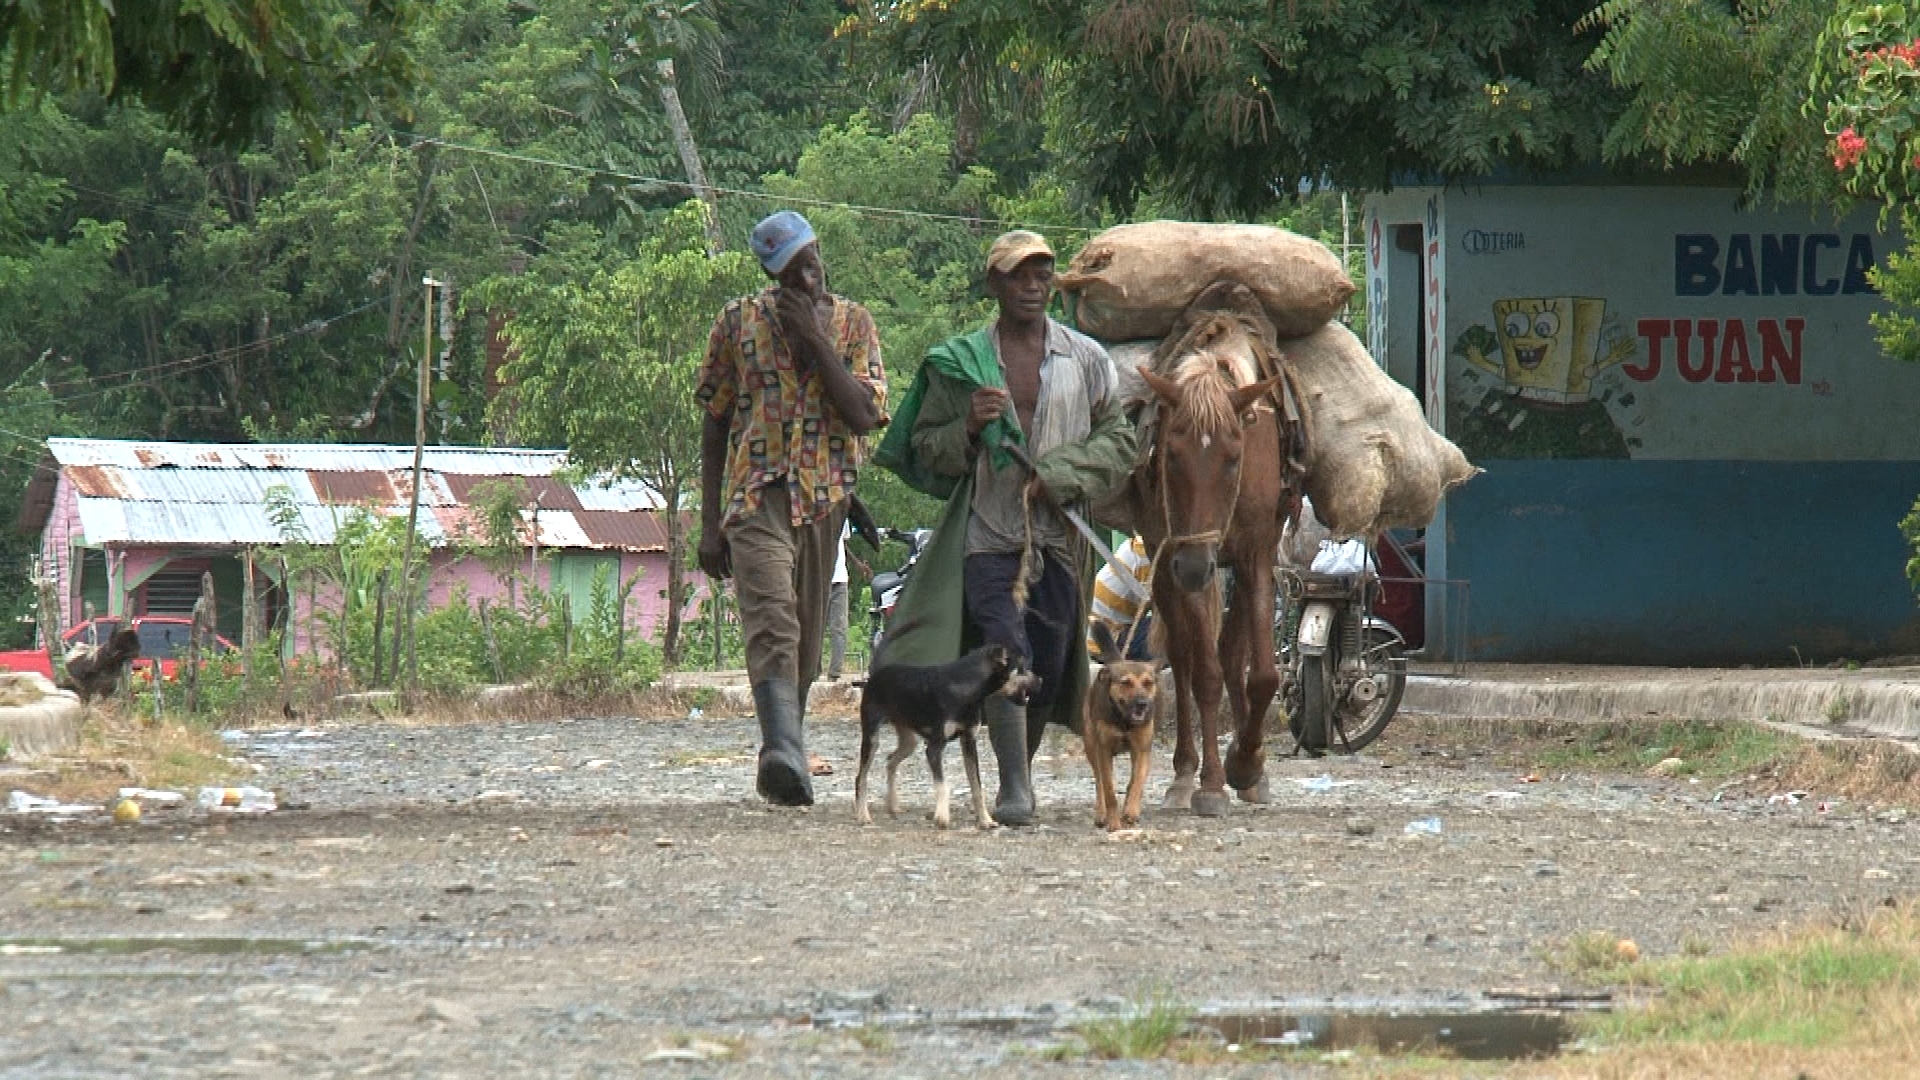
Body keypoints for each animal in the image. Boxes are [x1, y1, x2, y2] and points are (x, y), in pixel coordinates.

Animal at [852, 641, 1036, 826]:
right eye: (1021, 668)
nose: (1040, 680)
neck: (964, 687)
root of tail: (875, 675)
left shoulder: (969, 742)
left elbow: (977, 786)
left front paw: (985, 820)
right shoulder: (934, 747)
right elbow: (943, 785)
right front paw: (942, 816)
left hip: (909, 741)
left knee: (890, 762)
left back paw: (893, 805)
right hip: (872, 738)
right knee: (861, 777)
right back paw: (863, 815)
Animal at [1082, 618, 1152, 826]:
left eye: (1149, 683)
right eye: (1125, 683)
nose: (1142, 703)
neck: (1124, 721)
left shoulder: (1142, 749)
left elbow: (1136, 782)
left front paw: (1131, 811)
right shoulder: (1103, 750)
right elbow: (1109, 791)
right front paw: (1113, 822)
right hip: (1091, 745)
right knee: (1099, 782)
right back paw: (1101, 813)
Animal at [1128, 290, 1297, 810]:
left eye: (1234, 456)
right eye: (1170, 454)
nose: (1193, 567)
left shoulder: (1255, 554)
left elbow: (1261, 674)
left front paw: (1247, 762)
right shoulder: (1183, 559)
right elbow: (1203, 672)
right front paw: (1211, 782)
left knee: (1232, 649)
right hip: (1168, 566)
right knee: (1182, 659)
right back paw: (1186, 773)